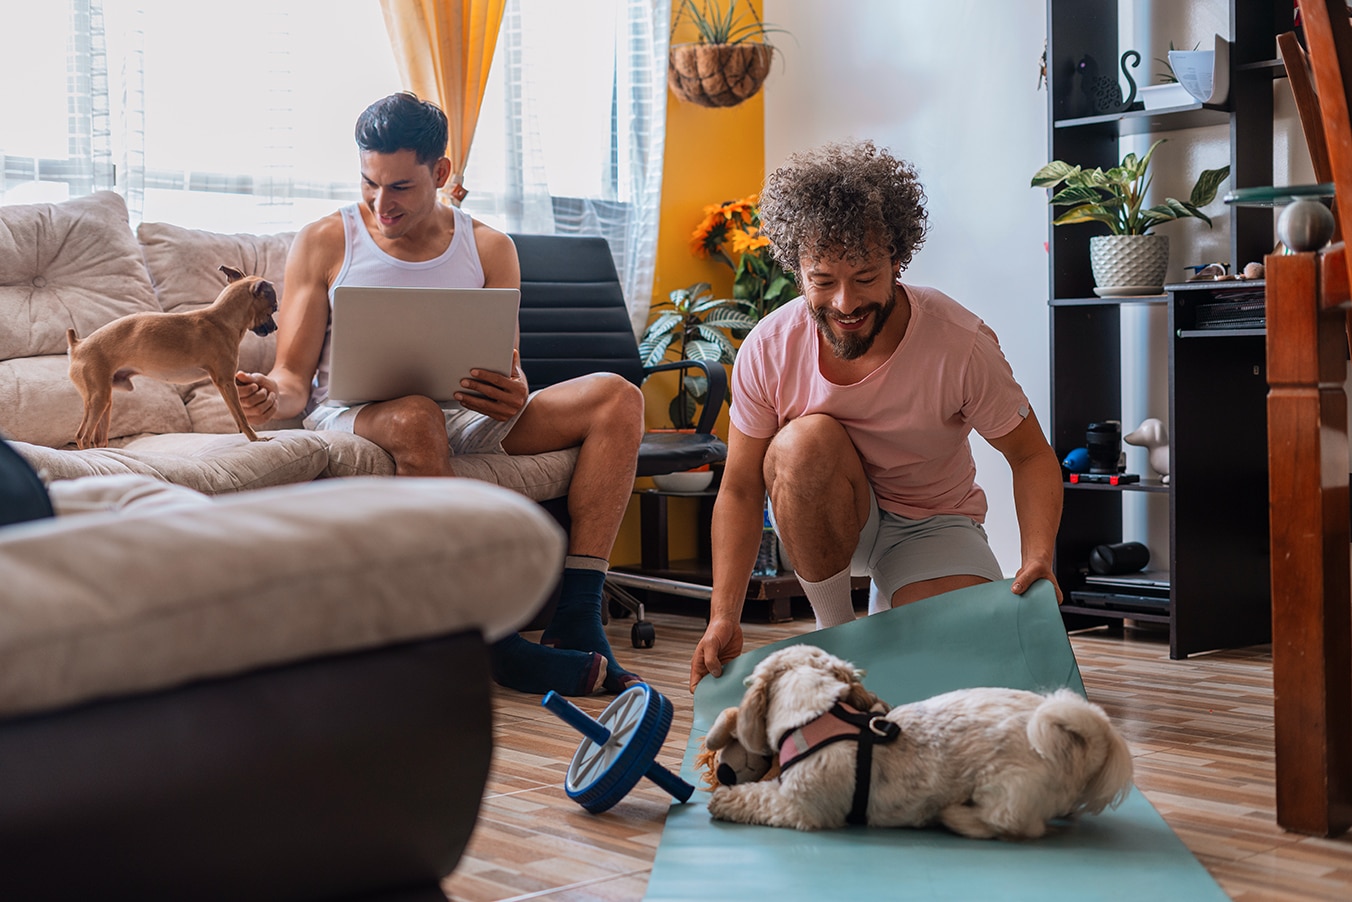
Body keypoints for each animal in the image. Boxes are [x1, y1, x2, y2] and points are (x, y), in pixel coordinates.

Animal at [69, 266, 281, 448]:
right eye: (274, 308)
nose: (276, 328)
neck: (221, 319)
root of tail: (77, 346)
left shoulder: (228, 380)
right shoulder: (226, 382)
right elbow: (241, 416)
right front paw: (256, 439)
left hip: (105, 400)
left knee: (98, 439)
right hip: (98, 398)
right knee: (82, 436)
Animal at [703, 646, 1135, 838]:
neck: (819, 714)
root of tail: (1081, 749)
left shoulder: (799, 806)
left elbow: (758, 798)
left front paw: (726, 799)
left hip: (1007, 791)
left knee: (1016, 825)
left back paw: (954, 817)